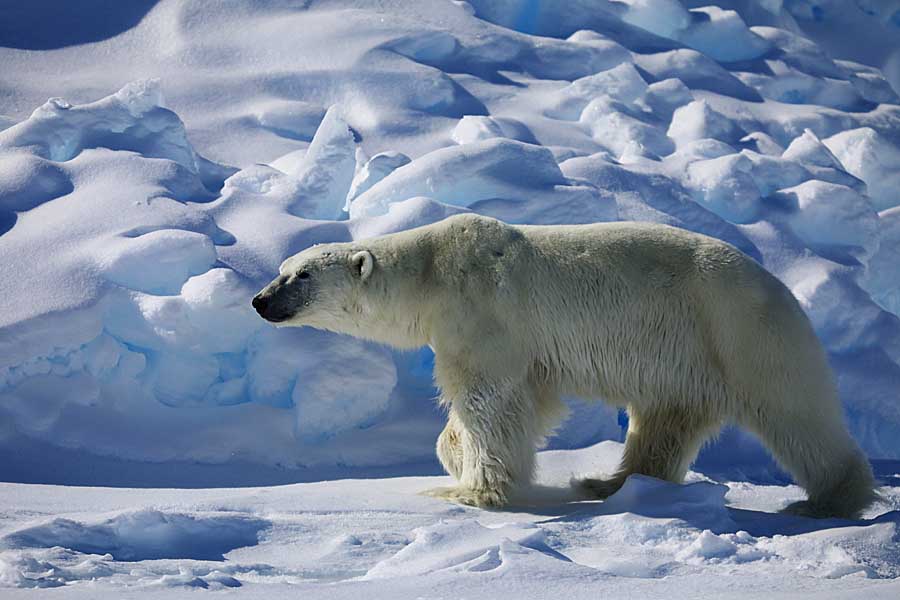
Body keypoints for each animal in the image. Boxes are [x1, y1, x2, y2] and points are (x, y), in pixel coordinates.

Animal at [251, 213, 872, 516]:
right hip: (686, 356)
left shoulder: (483, 311)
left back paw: (828, 499)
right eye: (282, 270)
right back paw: (608, 481)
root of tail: (780, 286)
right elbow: (522, 399)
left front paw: (471, 492)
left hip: (738, 331)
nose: (259, 301)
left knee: (794, 412)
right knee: (665, 419)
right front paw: (456, 462)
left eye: (300, 275)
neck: (433, 271)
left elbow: (489, 401)